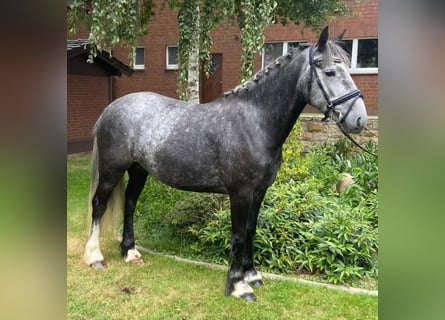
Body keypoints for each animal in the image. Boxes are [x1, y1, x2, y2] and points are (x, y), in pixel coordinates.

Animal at [84, 26, 368, 300]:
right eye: (330, 71)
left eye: (348, 66)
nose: (360, 119)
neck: (255, 122)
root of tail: (110, 109)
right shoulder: (240, 193)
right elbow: (238, 235)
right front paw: (239, 286)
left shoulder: (259, 191)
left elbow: (251, 230)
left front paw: (252, 275)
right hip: (111, 170)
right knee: (99, 205)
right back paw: (95, 257)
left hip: (138, 170)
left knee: (130, 204)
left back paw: (130, 252)